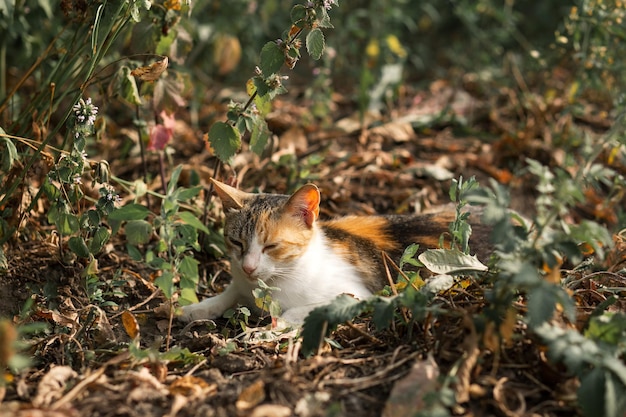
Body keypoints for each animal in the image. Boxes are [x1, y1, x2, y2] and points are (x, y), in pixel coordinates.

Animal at [180, 178, 488, 322]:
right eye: (237, 243)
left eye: (271, 246)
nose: (248, 267)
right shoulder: (241, 283)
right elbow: (229, 292)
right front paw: (194, 308)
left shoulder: (360, 295)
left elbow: (298, 311)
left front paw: (279, 323)